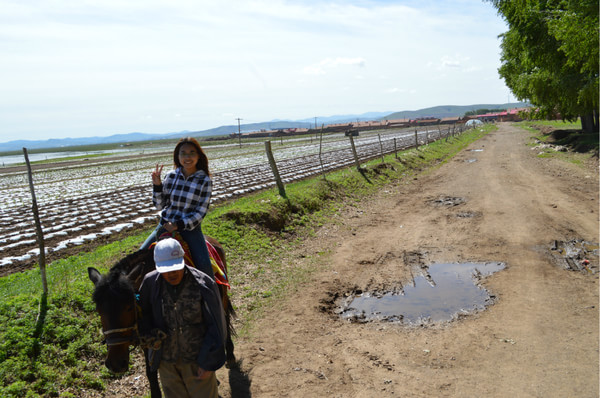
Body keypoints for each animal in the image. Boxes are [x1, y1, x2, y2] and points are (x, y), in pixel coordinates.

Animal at [88, 238, 236, 396]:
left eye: (129, 307)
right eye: (99, 310)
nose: (115, 364)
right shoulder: (148, 336)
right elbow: (150, 372)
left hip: (222, 296)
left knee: (225, 319)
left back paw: (230, 355)